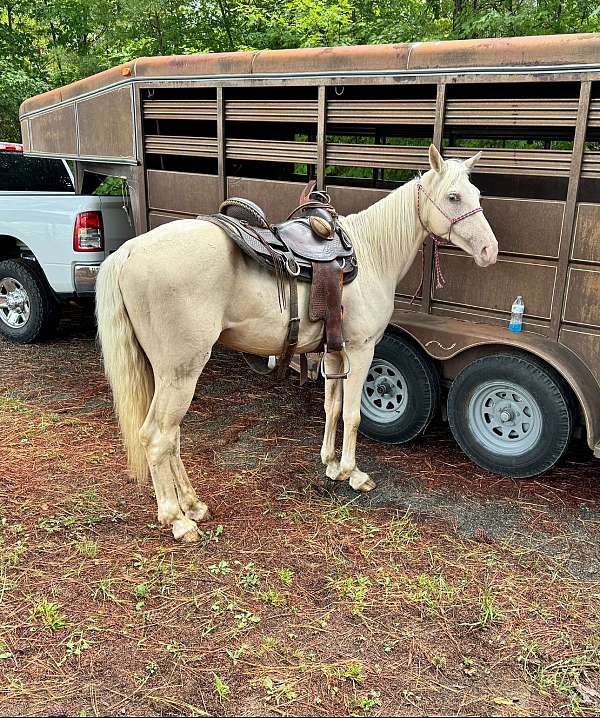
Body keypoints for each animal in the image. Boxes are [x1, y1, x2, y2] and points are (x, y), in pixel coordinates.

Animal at [94, 145, 496, 540]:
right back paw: (177, 519)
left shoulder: (335, 353)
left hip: (165, 374)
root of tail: (129, 252)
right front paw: (354, 473)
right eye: (454, 196)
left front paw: (332, 465)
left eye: (476, 193)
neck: (369, 254)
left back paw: (193, 504)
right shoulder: (362, 350)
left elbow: (333, 408)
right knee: (157, 437)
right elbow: (352, 415)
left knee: (172, 437)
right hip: (181, 372)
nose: (490, 251)